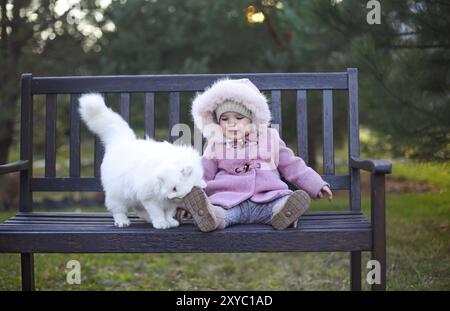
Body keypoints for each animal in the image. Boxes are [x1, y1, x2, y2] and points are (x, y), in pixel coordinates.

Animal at [78, 93, 206, 229]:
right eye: (174, 188)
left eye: (185, 194)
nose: (175, 197)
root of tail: (121, 140)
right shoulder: (150, 198)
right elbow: (158, 213)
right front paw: (161, 224)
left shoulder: (167, 204)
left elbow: (168, 213)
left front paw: (170, 222)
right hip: (118, 196)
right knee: (118, 211)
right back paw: (123, 222)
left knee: (139, 210)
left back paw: (148, 220)